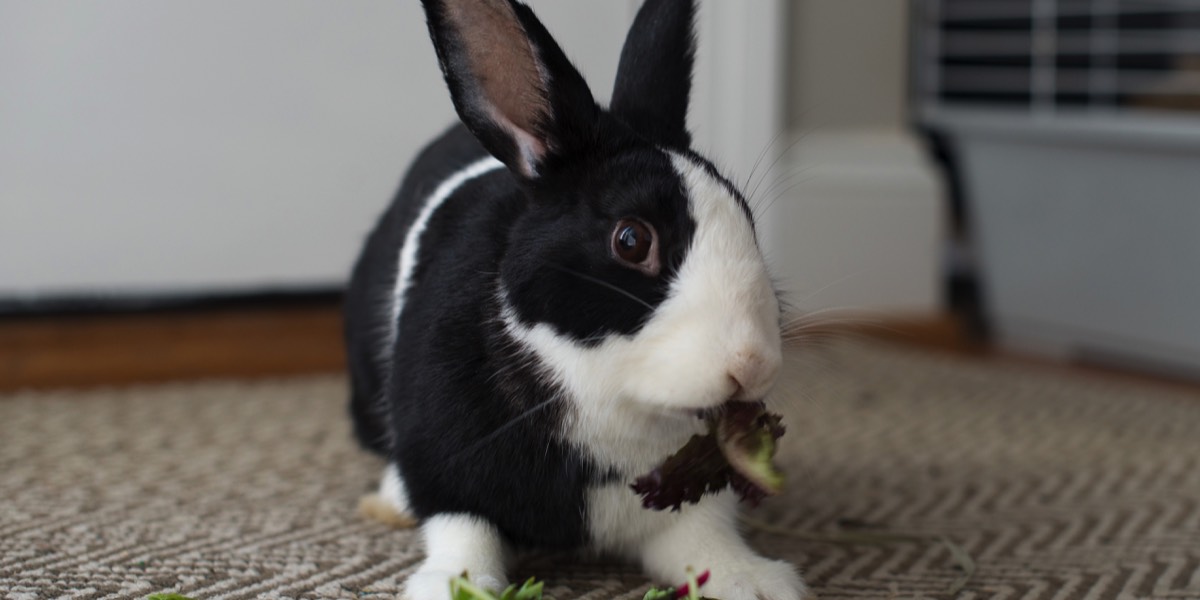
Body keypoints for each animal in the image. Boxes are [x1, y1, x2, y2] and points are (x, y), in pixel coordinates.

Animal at [343, 1, 806, 600]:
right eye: (631, 240)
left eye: (747, 220)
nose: (752, 364)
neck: (609, 394)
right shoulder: (445, 471)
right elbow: (464, 528)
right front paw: (453, 585)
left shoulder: (682, 499)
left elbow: (704, 540)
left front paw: (753, 580)